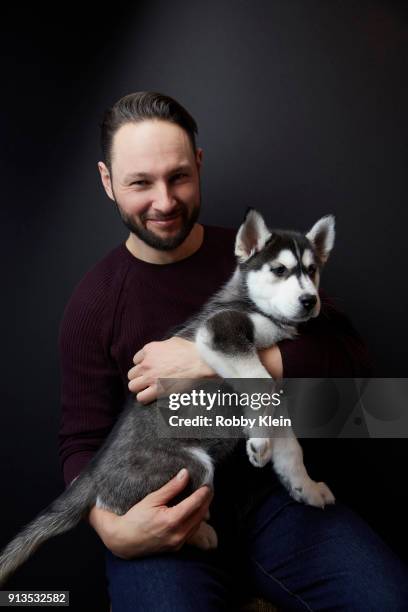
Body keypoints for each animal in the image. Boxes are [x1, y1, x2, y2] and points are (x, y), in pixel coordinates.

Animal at [0, 210, 334, 584]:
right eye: (279, 270)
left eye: (312, 270)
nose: (310, 301)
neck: (257, 308)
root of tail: (92, 474)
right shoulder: (221, 331)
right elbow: (261, 383)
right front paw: (260, 443)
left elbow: (290, 446)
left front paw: (305, 486)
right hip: (191, 467)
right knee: (133, 510)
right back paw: (199, 532)